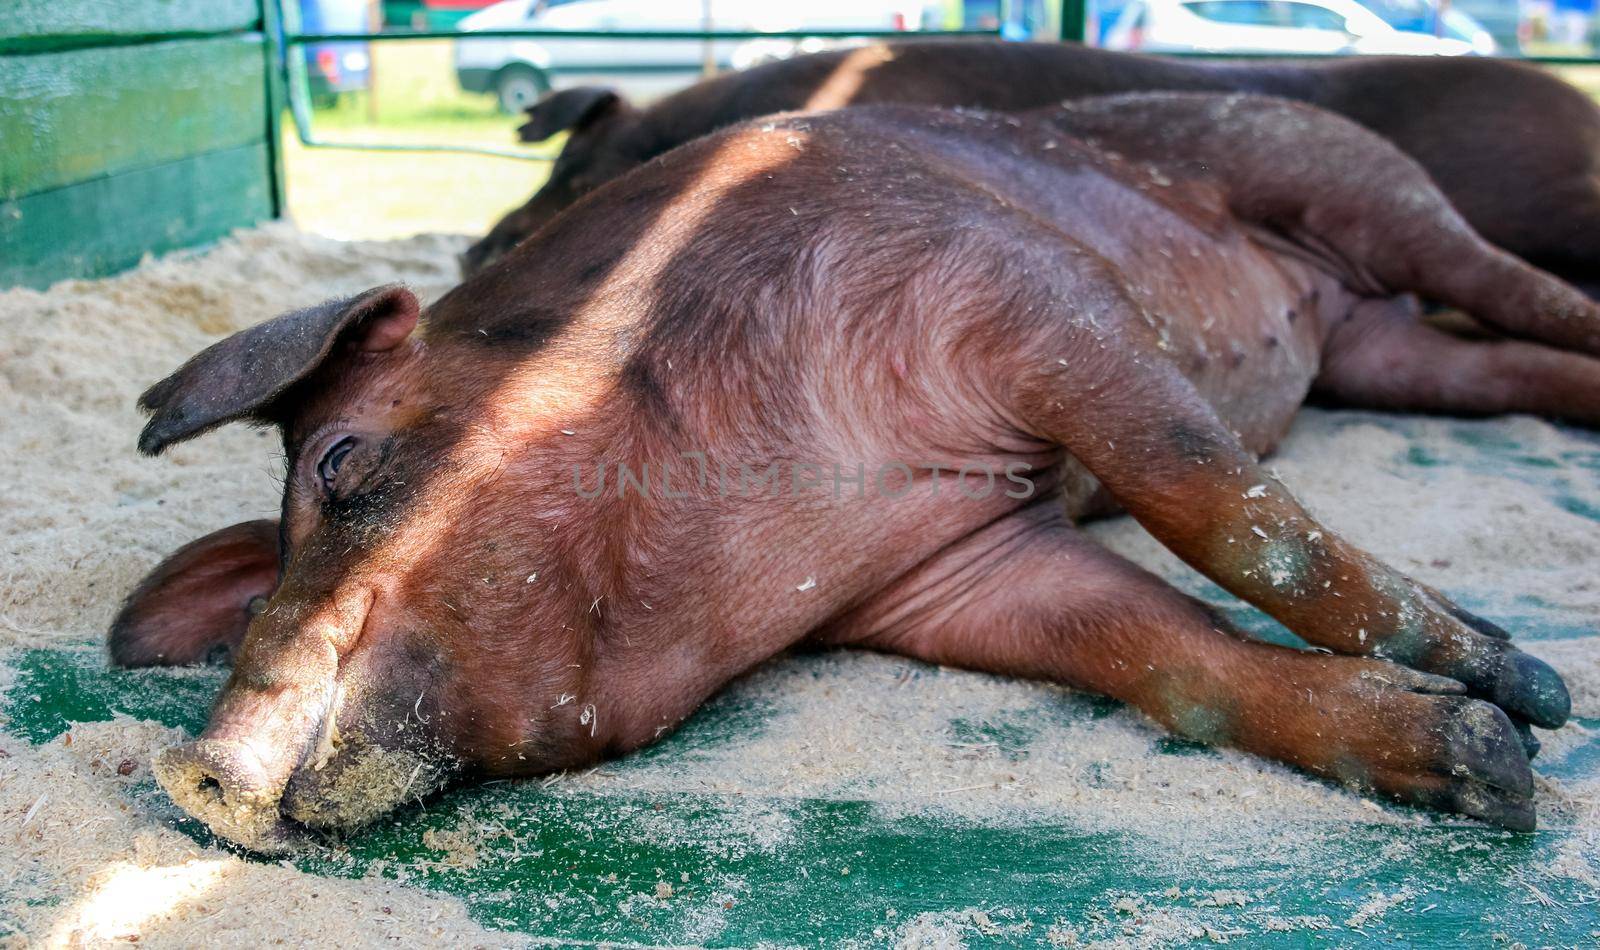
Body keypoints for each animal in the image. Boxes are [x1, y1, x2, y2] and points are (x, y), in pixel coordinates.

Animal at [112, 94, 1587, 850]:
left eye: (342, 454)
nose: (189, 769)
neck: (769, 521)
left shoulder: (1041, 311)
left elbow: (1222, 510)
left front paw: (1527, 687)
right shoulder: (960, 571)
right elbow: (1171, 662)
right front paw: (1487, 761)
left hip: (1354, 183)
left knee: (1532, 300)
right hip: (1387, 350)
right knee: (1511, 367)